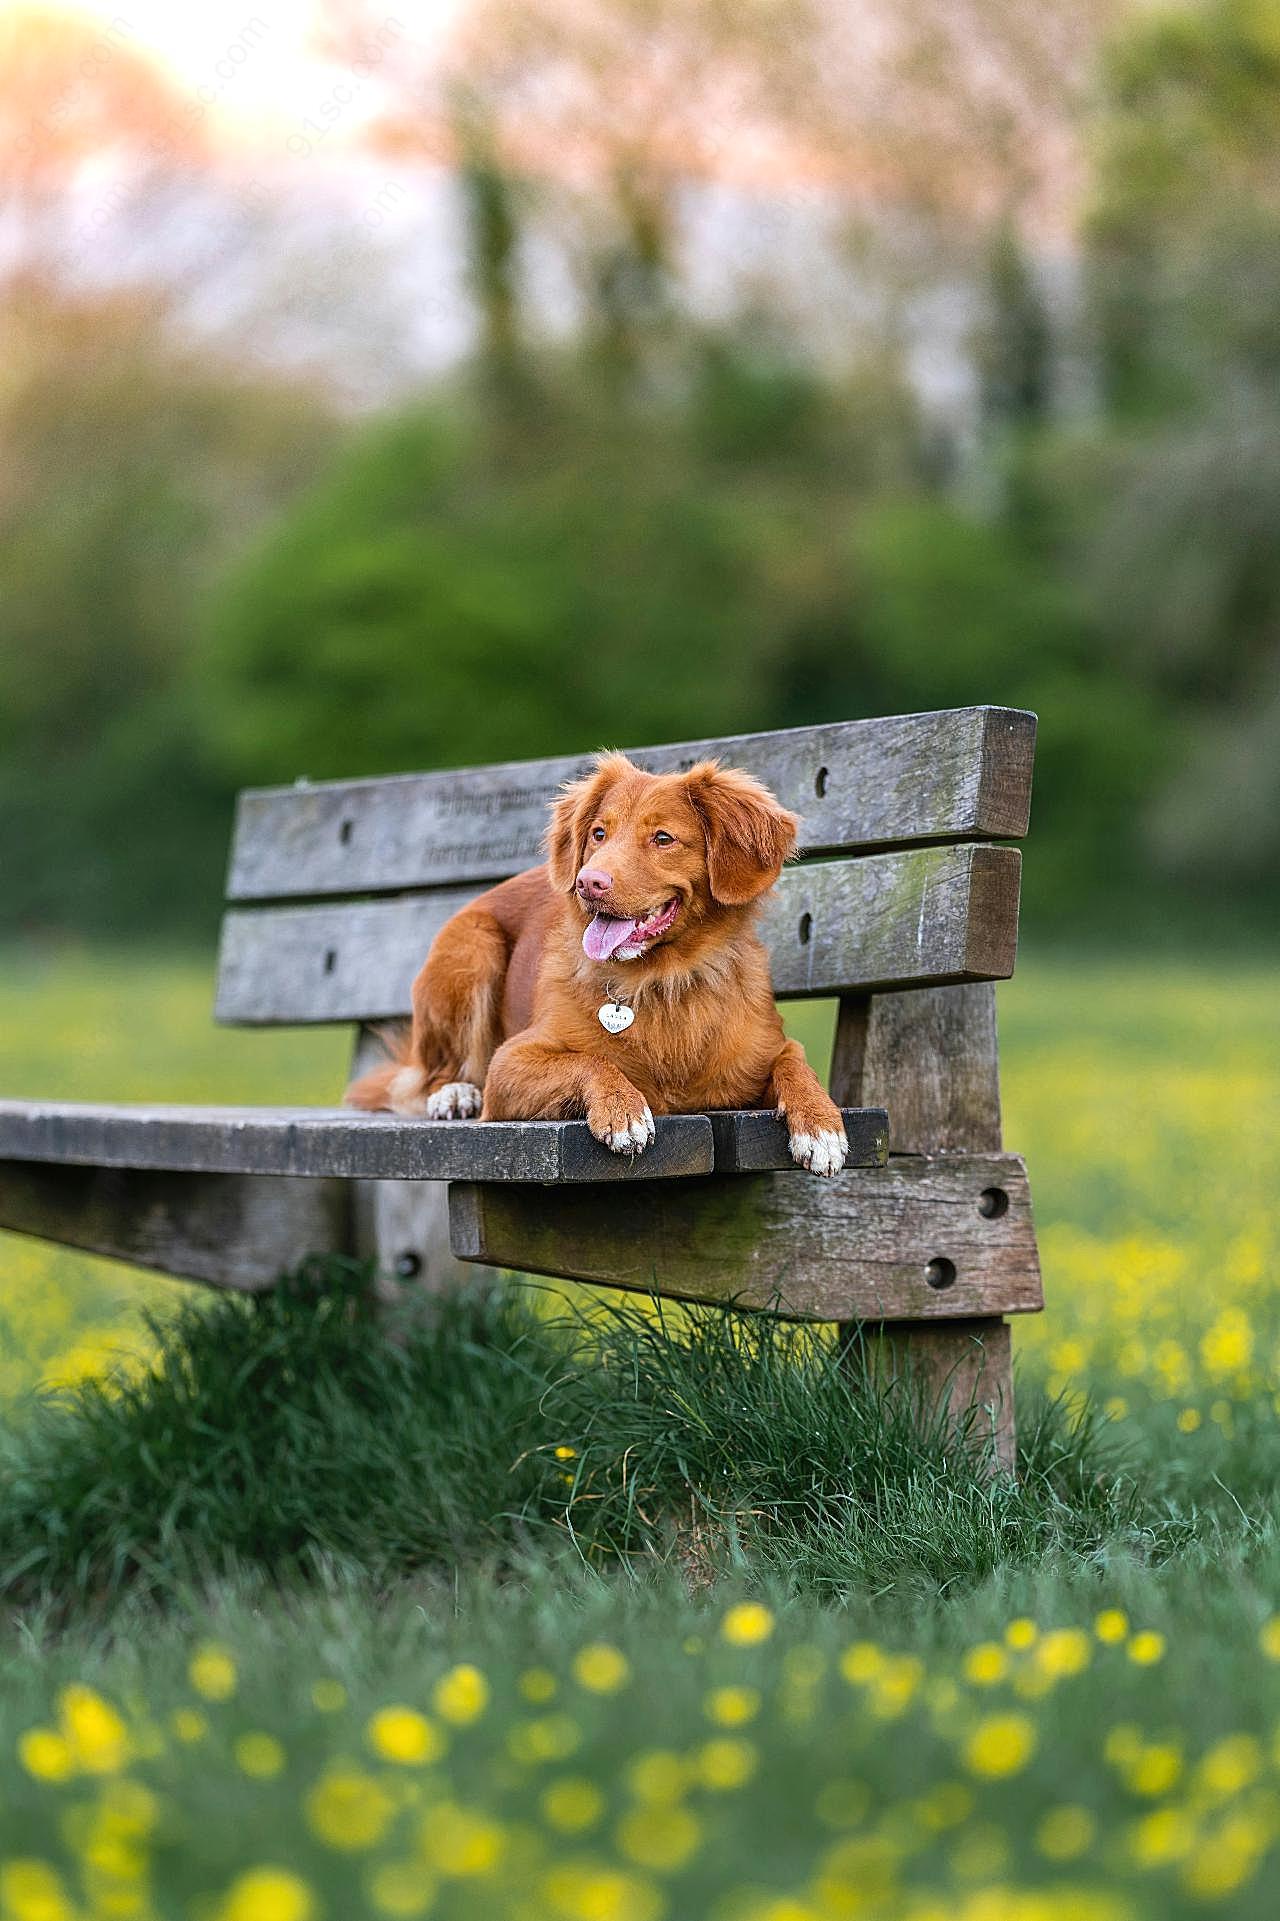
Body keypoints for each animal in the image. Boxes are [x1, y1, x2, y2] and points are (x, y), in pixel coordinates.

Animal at [344, 745, 845, 1167]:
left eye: (663, 838)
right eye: (599, 833)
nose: (588, 881)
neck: (662, 980)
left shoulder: (762, 1051)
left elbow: (794, 1058)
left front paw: (821, 1124)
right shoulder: (508, 1066)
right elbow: (588, 1059)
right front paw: (623, 1110)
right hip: (470, 950)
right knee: (426, 1075)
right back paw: (454, 1093)